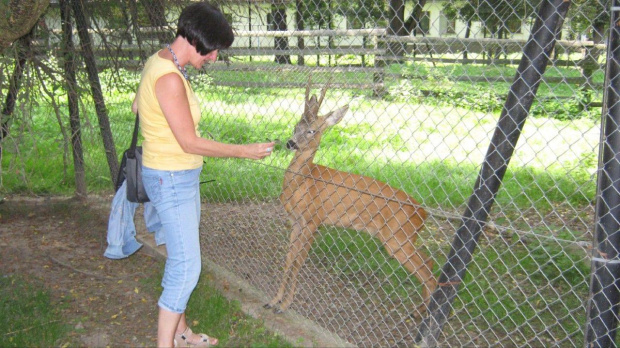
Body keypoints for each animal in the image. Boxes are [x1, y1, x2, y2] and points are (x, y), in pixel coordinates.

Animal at [266, 81, 436, 316]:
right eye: (295, 126)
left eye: (311, 130)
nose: (291, 143)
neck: (305, 182)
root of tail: (423, 212)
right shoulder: (296, 221)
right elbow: (289, 259)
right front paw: (274, 300)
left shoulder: (314, 220)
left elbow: (299, 261)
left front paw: (285, 305)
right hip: (403, 238)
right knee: (429, 264)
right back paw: (420, 312)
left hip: (398, 237)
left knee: (428, 270)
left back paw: (424, 318)